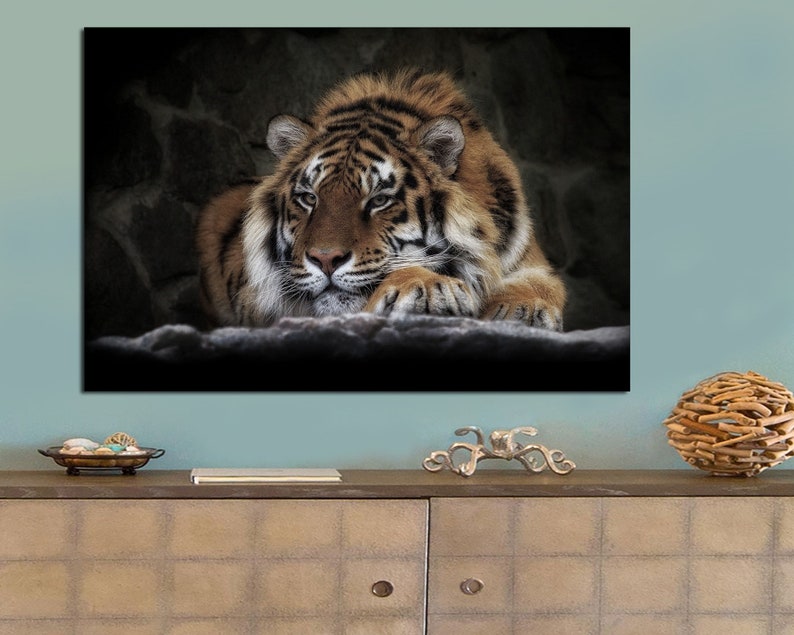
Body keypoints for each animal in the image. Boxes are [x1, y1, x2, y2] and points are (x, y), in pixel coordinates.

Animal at [196, 68, 566, 331]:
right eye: (309, 198)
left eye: (379, 200)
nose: (325, 259)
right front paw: (428, 286)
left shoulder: (529, 261)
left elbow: (540, 285)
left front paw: (522, 309)